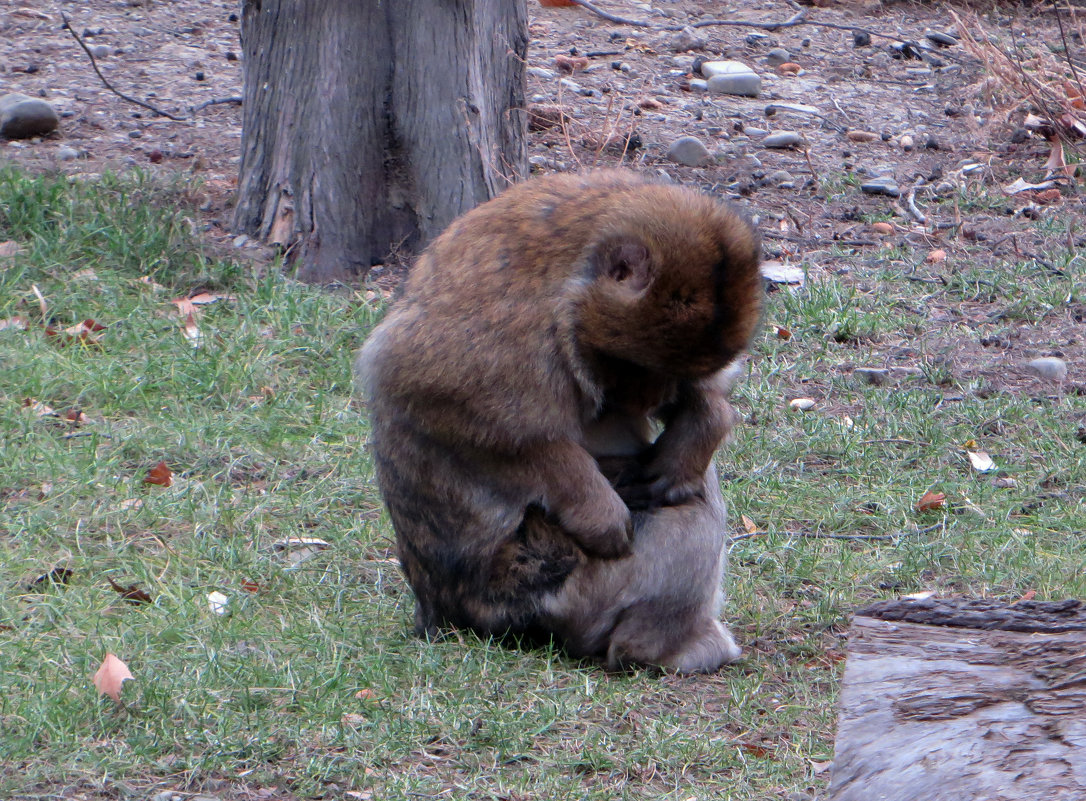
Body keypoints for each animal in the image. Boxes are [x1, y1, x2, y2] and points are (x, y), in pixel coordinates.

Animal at [358, 170, 764, 672]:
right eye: (640, 365)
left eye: (677, 372)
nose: (654, 398)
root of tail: (443, 611)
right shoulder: (516, 319)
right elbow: (428, 390)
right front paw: (597, 511)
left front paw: (700, 426)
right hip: (558, 584)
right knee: (689, 511)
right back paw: (661, 646)